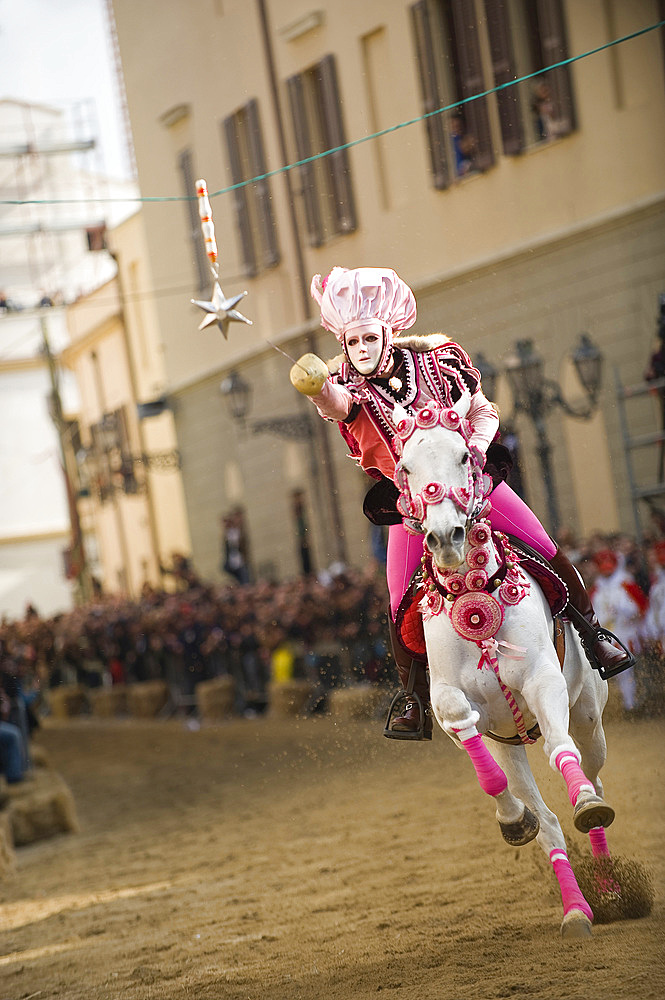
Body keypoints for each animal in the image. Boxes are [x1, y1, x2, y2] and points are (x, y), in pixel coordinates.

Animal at [394, 398, 616, 936]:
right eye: (405, 467)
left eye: (463, 457)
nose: (445, 536)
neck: (472, 591)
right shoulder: (451, 704)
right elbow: (480, 757)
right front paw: (515, 820)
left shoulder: (542, 679)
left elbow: (560, 749)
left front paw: (586, 805)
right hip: (510, 741)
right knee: (549, 824)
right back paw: (577, 909)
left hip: (590, 717)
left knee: (592, 770)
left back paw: (608, 878)